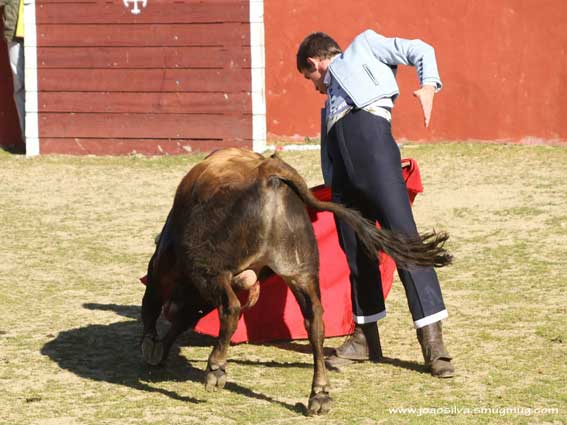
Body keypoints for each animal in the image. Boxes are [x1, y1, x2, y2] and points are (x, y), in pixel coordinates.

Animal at [140, 146, 450, 414]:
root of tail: (267, 170)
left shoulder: (166, 269)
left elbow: (153, 304)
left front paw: (151, 345)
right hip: (301, 272)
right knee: (315, 323)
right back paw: (320, 394)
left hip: (209, 269)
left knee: (231, 308)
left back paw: (215, 369)